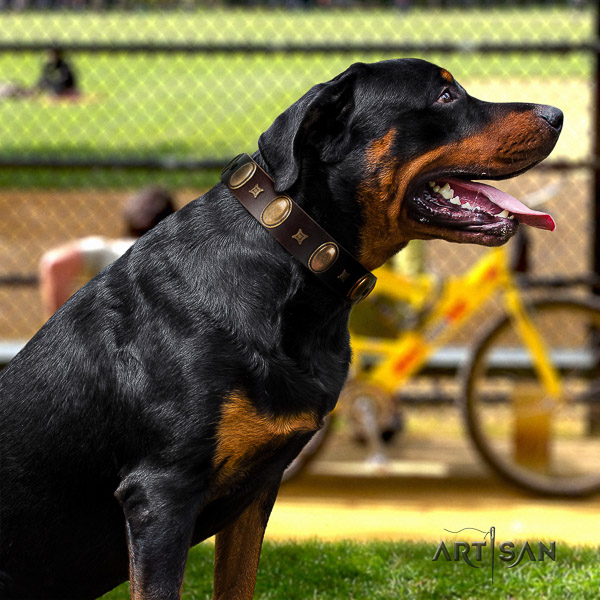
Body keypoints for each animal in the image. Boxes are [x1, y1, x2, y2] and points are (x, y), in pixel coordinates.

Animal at [0, 59, 564, 600]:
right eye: (445, 95)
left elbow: (238, 586)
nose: (556, 113)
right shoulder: (161, 492)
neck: (296, 257)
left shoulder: (256, 490)